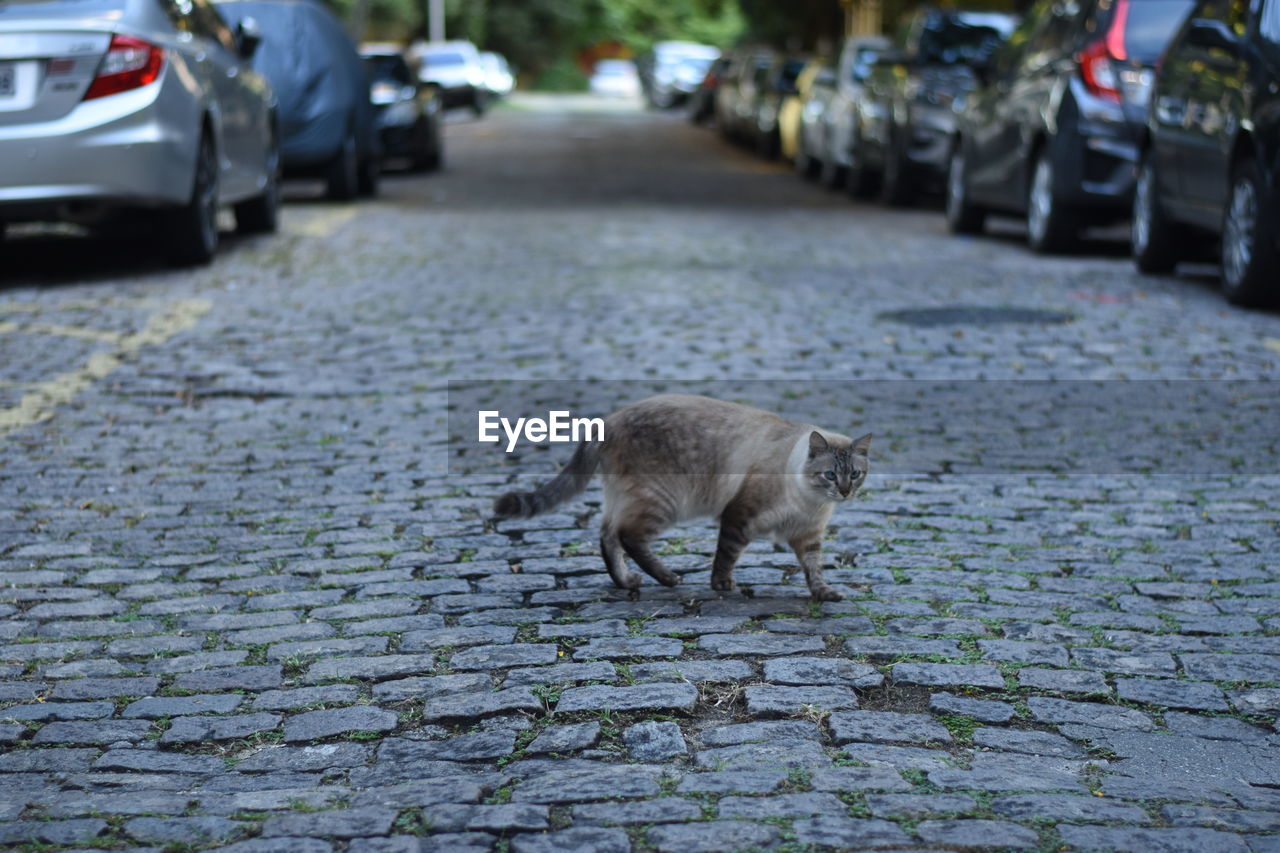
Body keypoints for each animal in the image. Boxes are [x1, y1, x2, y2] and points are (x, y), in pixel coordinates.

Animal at [488, 391, 870, 596]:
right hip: (663, 502)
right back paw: (668, 578)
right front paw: (721, 585)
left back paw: (627, 582)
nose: (844, 492)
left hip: (627, 498)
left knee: (607, 534)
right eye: (830, 474)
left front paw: (824, 594)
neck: (810, 502)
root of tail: (608, 420)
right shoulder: (740, 516)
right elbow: (726, 556)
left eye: (855, 474)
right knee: (627, 536)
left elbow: (814, 569)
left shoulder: (808, 536)